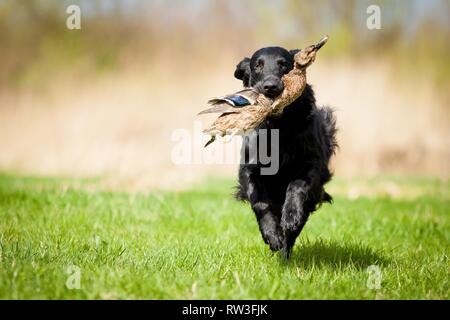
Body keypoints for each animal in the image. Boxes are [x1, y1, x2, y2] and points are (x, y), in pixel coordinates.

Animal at [234, 46, 336, 258]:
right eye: (258, 65)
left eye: (284, 64)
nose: (271, 86)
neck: (278, 126)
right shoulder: (248, 169)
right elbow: (260, 203)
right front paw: (271, 234)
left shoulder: (311, 164)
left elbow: (296, 186)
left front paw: (290, 217)